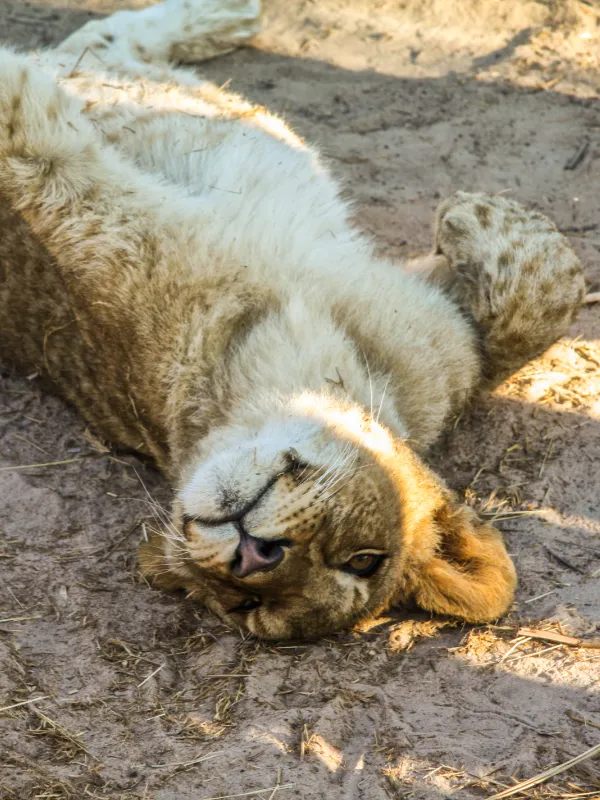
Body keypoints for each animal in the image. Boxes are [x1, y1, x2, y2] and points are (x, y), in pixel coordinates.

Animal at [0, 0, 585, 639]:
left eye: (243, 606)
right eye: (366, 560)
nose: (255, 556)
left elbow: (27, 130)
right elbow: (541, 309)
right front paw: (470, 214)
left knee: (102, 42)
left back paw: (226, 18)